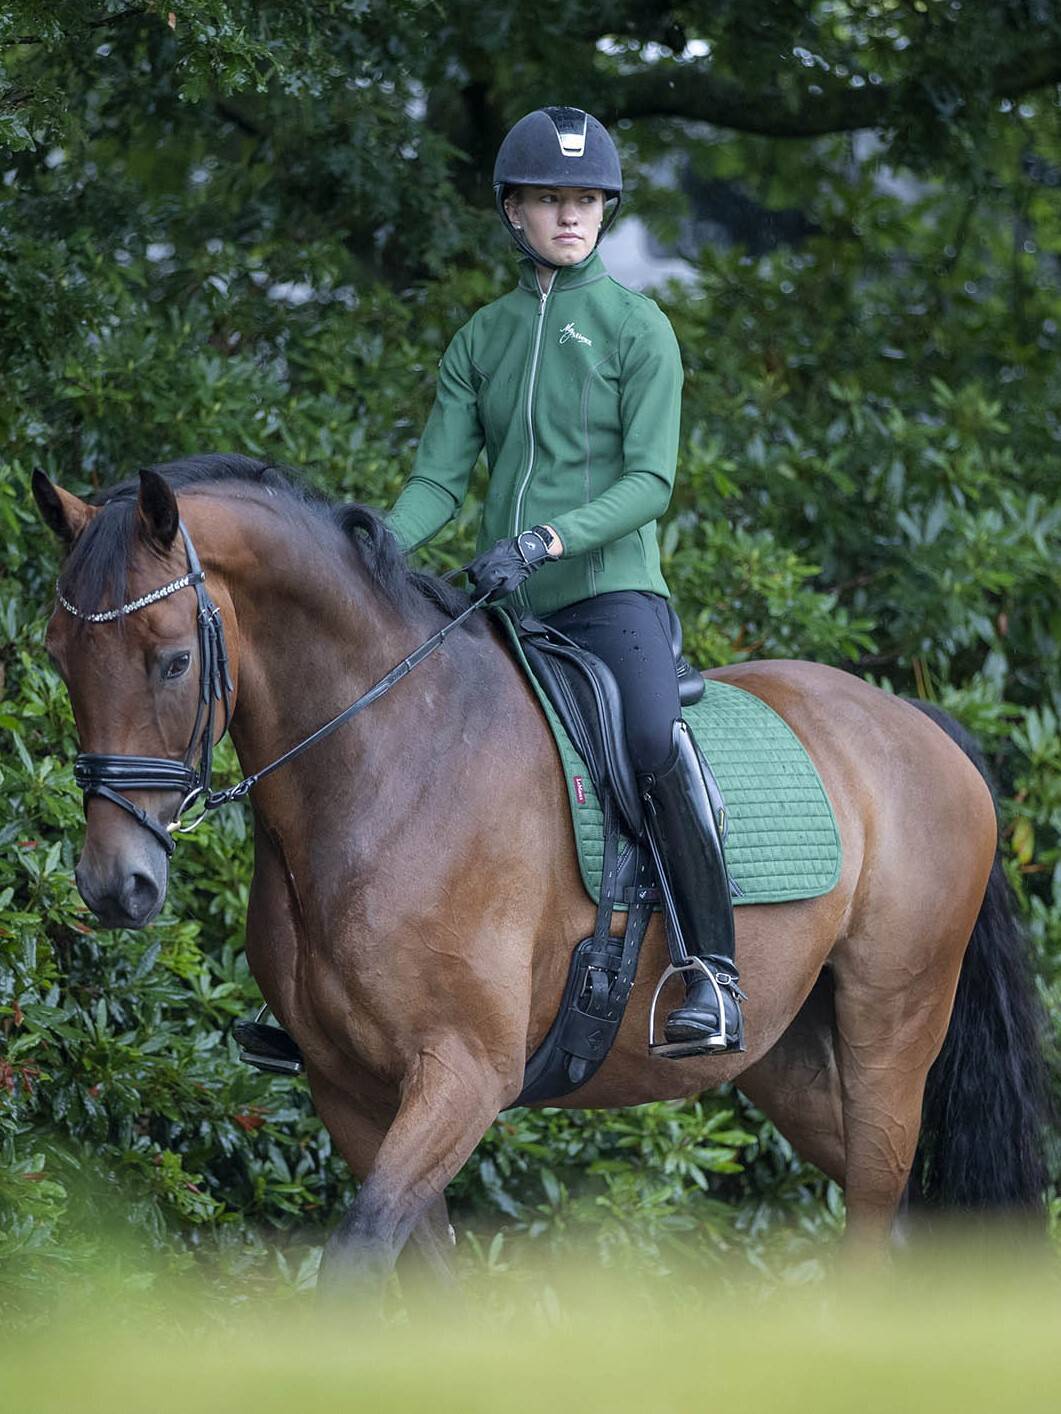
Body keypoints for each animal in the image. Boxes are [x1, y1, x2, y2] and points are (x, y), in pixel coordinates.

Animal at [31, 458, 1046, 1289]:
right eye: (58, 657)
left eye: (171, 661)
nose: (114, 884)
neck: (390, 761)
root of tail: (914, 723)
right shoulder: (350, 1091)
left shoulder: (462, 1076)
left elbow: (355, 1261)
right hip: (791, 1061)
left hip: (890, 1038)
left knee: (874, 1225)